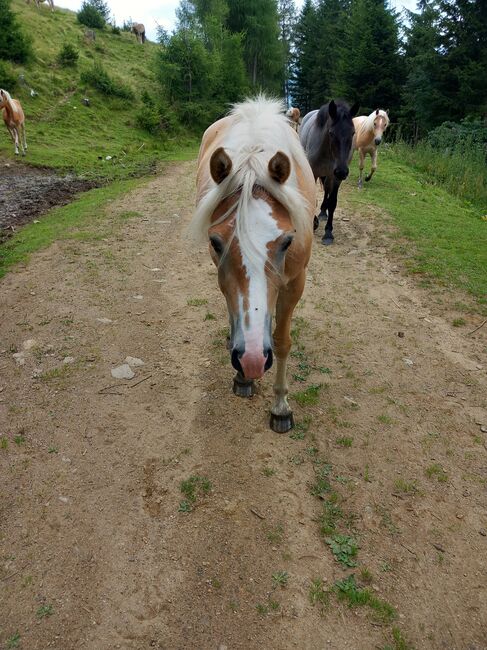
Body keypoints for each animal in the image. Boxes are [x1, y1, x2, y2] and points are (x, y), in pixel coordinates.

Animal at [193, 95, 318, 430]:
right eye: (216, 242)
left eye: (287, 242)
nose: (251, 360)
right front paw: (243, 378)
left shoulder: (296, 282)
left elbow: (283, 340)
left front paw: (281, 406)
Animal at [302, 98, 358, 243]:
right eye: (331, 133)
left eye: (353, 133)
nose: (342, 171)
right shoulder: (313, 173)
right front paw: (313, 223)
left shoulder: (336, 178)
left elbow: (332, 202)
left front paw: (328, 232)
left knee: (327, 189)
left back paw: (323, 212)